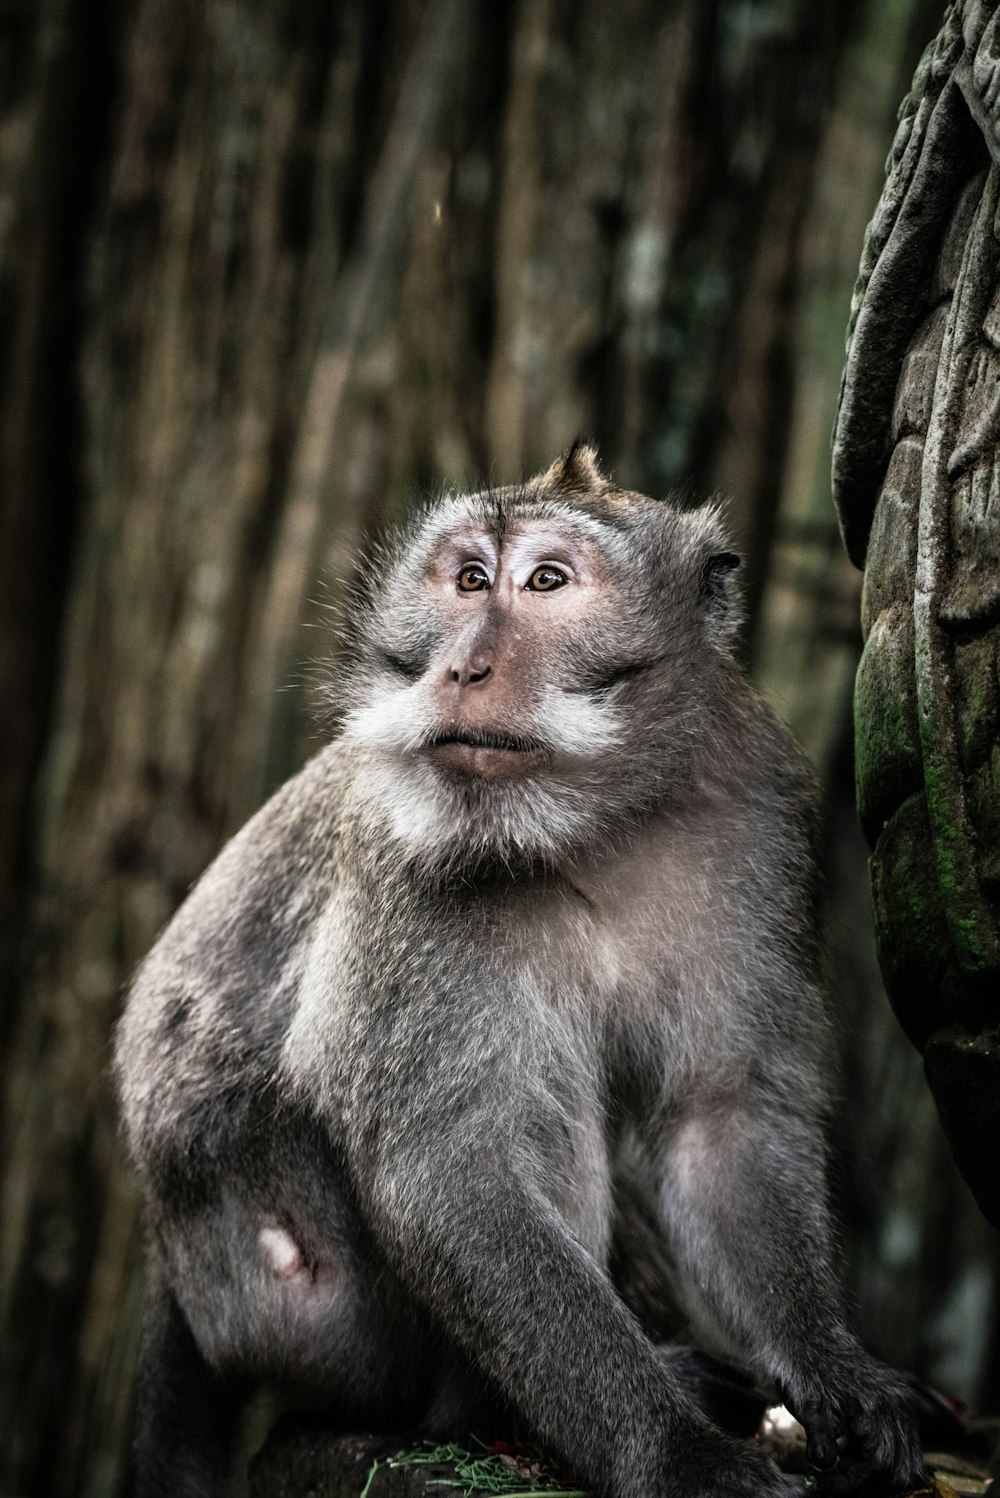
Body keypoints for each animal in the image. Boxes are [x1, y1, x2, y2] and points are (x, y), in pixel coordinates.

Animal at [113, 443, 928, 1498]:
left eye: (547, 581)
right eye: (467, 579)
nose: (464, 664)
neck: (596, 822)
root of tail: (172, 1268)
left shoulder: (757, 812)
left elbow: (721, 1117)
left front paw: (842, 1377)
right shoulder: (407, 852)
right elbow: (455, 1172)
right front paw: (680, 1455)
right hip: (298, 1290)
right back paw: (514, 1411)